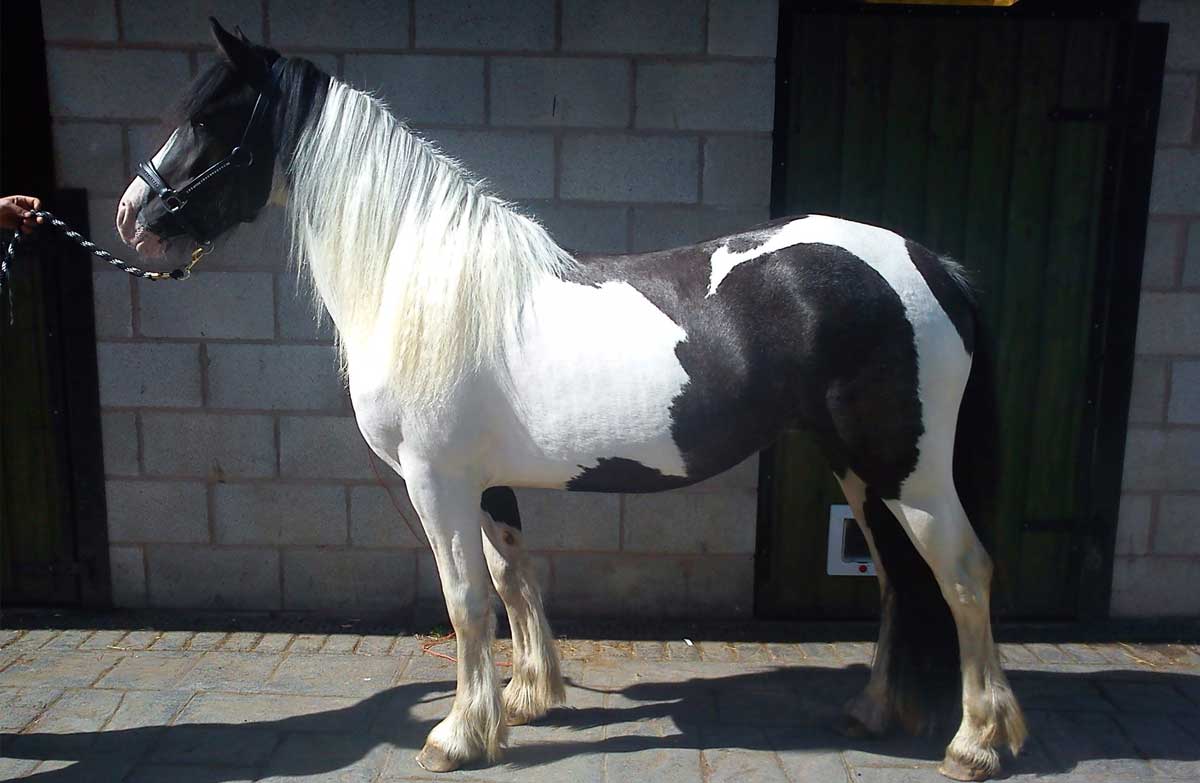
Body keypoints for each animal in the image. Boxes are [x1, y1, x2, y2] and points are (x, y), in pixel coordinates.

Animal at [115, 20, 1026, 781]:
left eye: (210, 121)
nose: (131, 215)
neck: (421, 282)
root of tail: (932, 263)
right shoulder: (484, 485)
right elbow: (512, 579)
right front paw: (524, 700)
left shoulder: (435, 481)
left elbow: (466, 602)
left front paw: (457, 735)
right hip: (861, 470)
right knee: (901, 579)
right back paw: (875, 710)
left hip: (907, 471)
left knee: (963, 573)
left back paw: (976, 742)